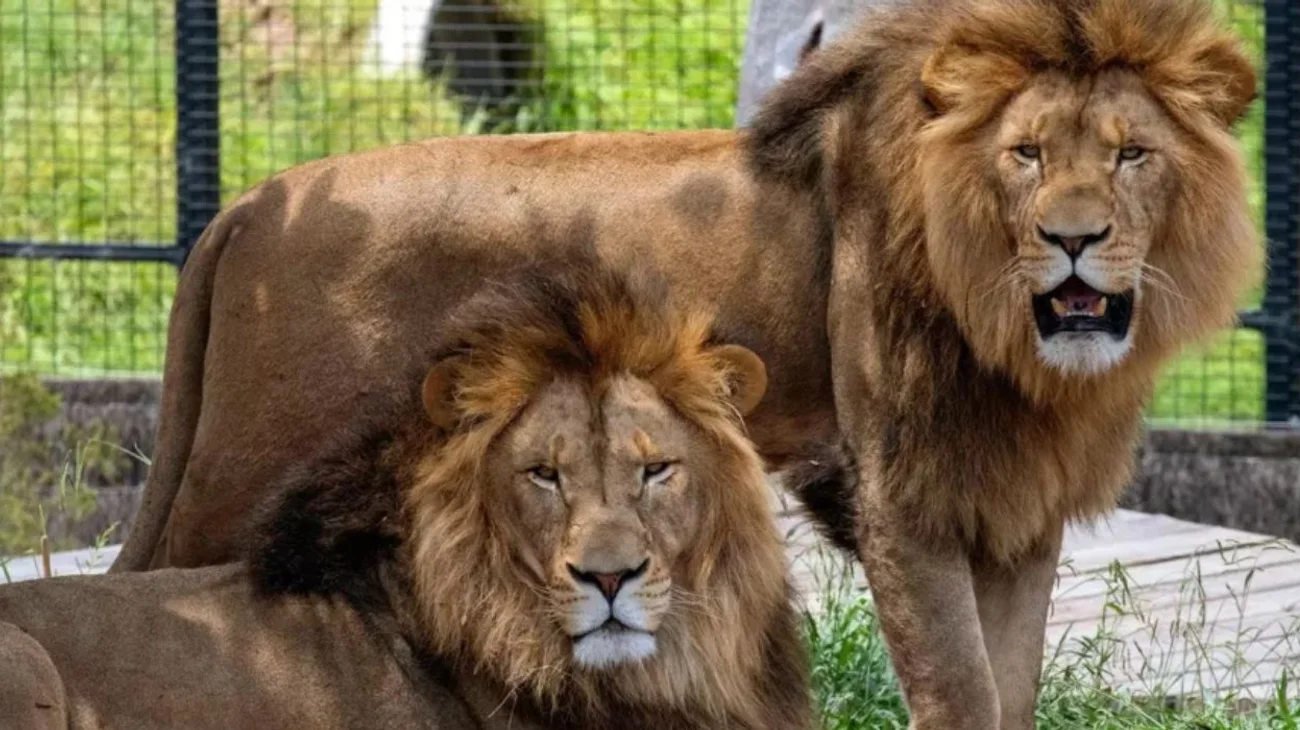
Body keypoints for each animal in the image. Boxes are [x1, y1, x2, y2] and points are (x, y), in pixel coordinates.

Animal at [111, 0, 1259, 726]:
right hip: (237, 476)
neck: (1009, 334)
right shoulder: (901, 497)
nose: (1072, 238)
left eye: (1131, 153)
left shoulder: (1014, 510)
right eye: (1025, 154)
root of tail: (245, 209)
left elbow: (1011, 690)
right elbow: (963, 693)